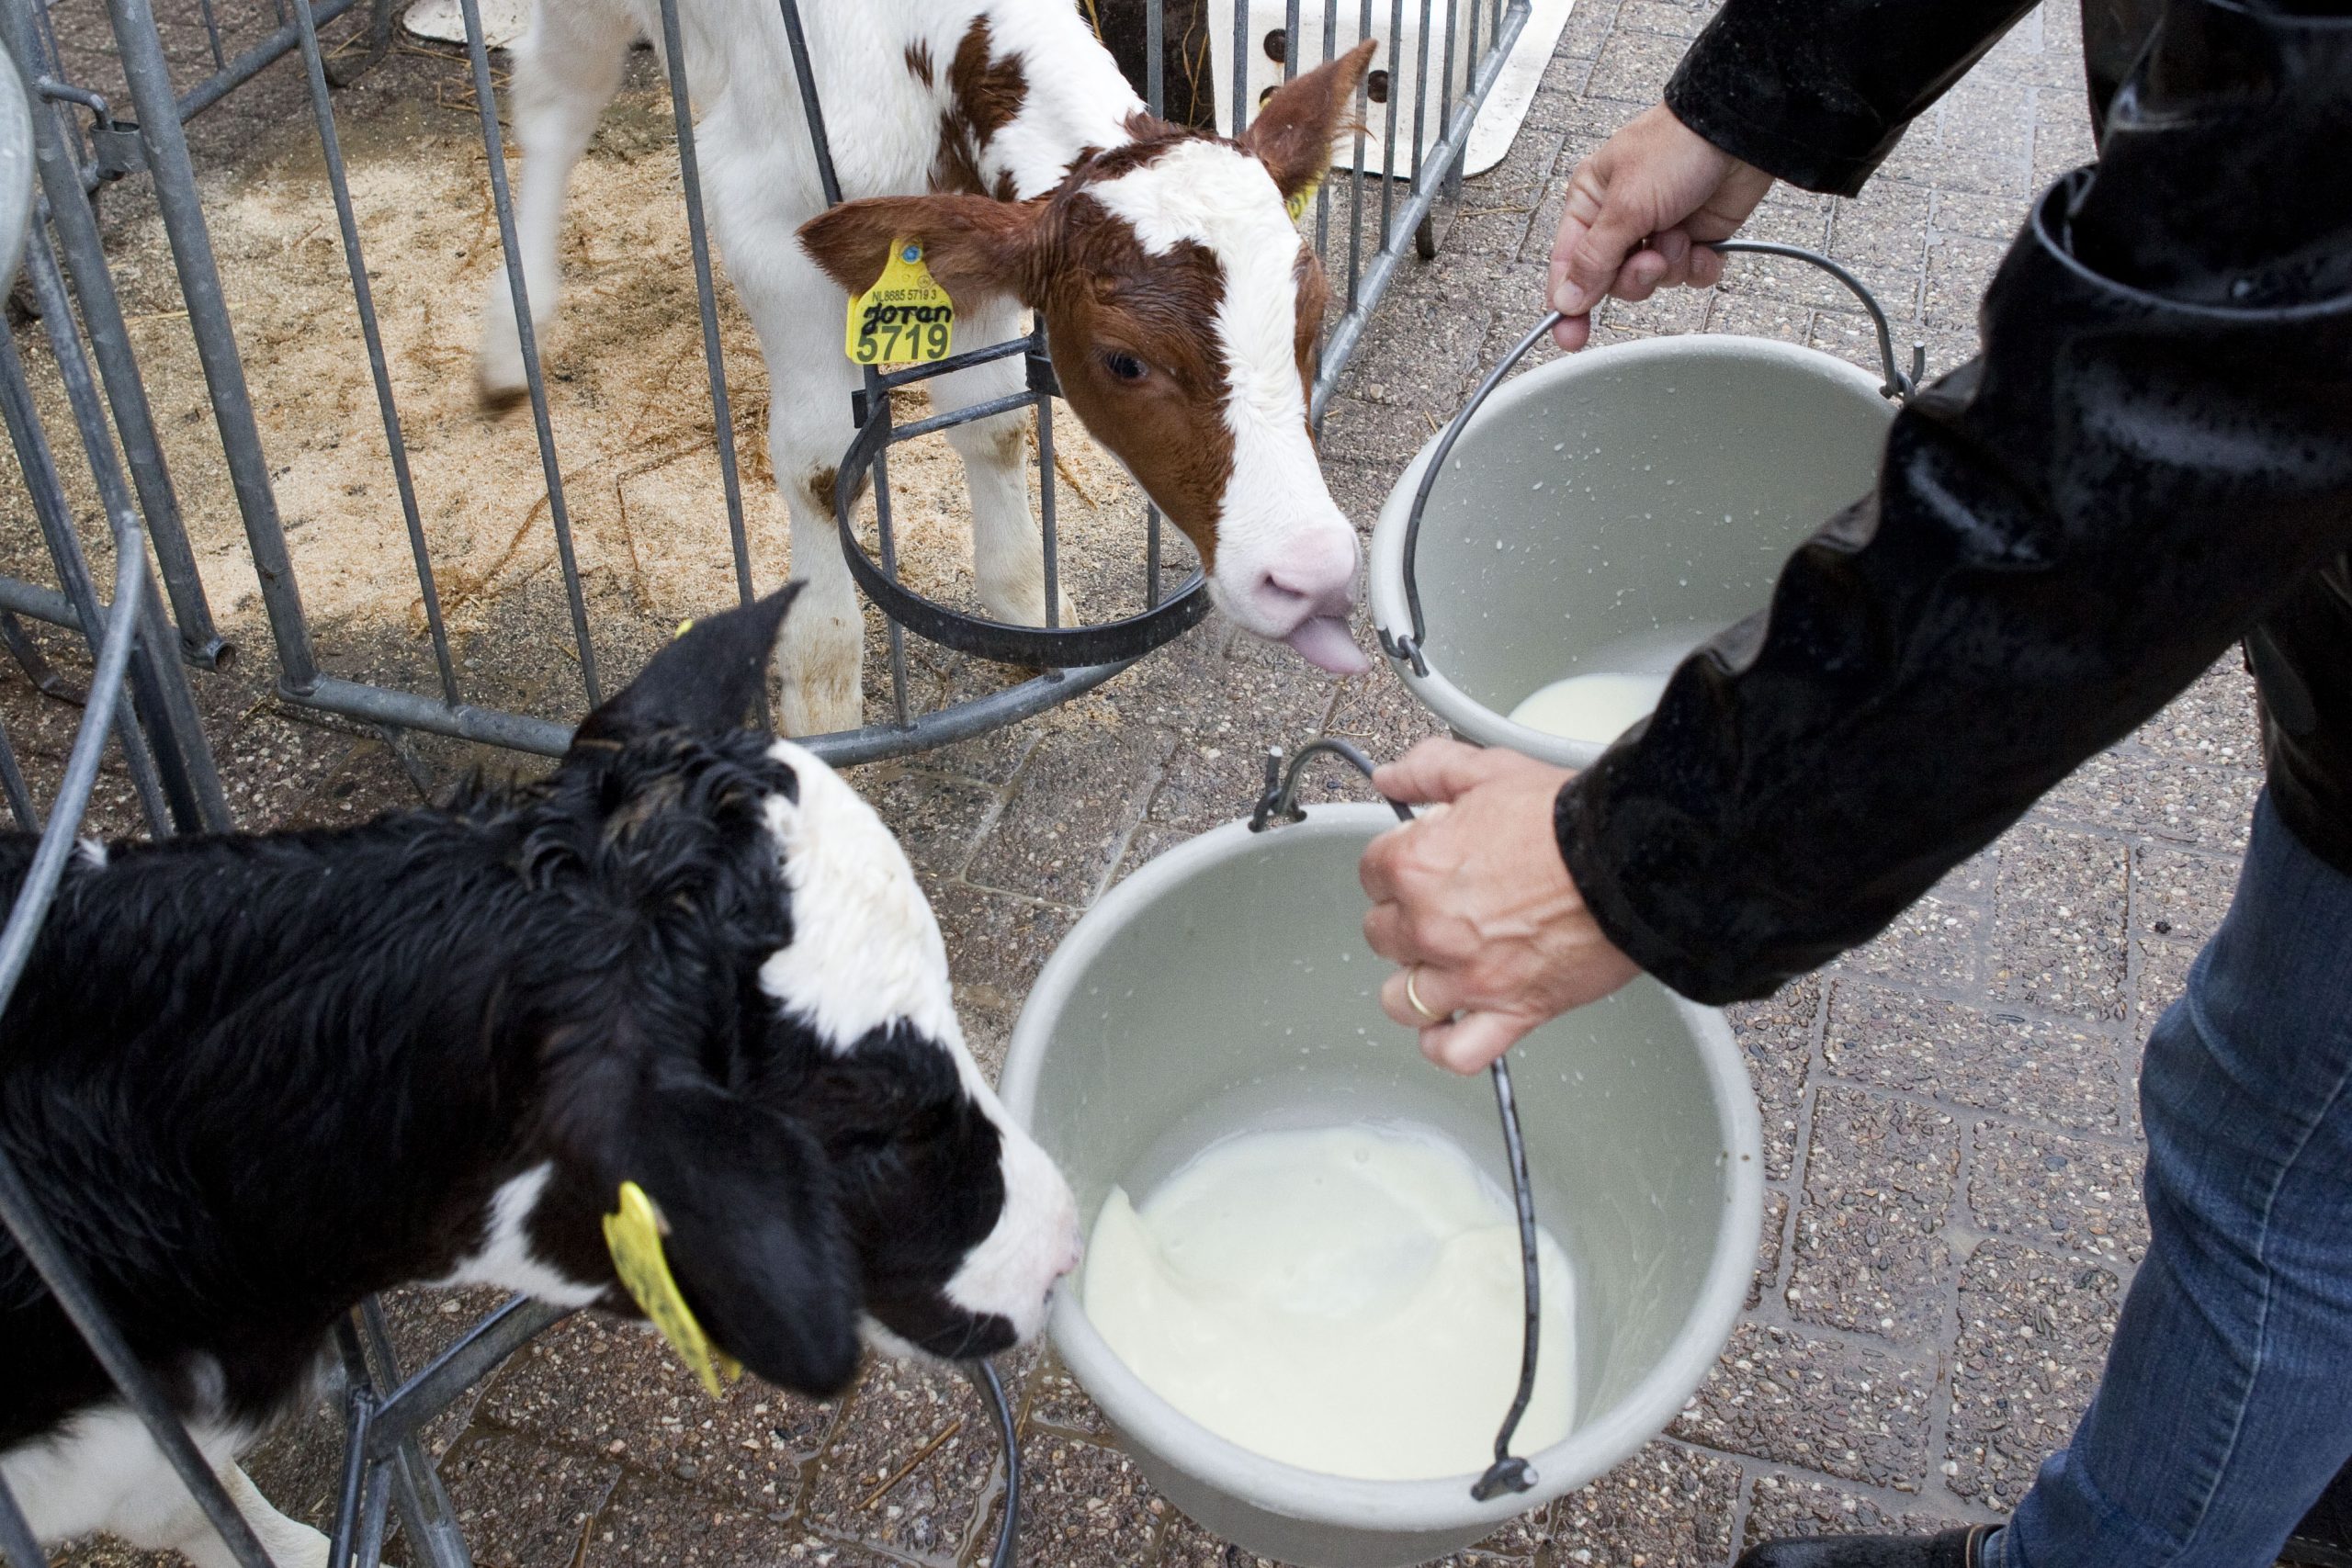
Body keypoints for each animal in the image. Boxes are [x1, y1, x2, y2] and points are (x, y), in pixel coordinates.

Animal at [477, 1, 1374, 738]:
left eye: (1314, 312)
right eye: (1124, 359)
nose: (1314, 571)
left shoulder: (958, 234)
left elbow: (996, 421)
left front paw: (1027, 601)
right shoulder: (765, 226)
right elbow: (817, 465)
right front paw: (820, 683)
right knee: (554, 97)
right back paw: (510, 340)